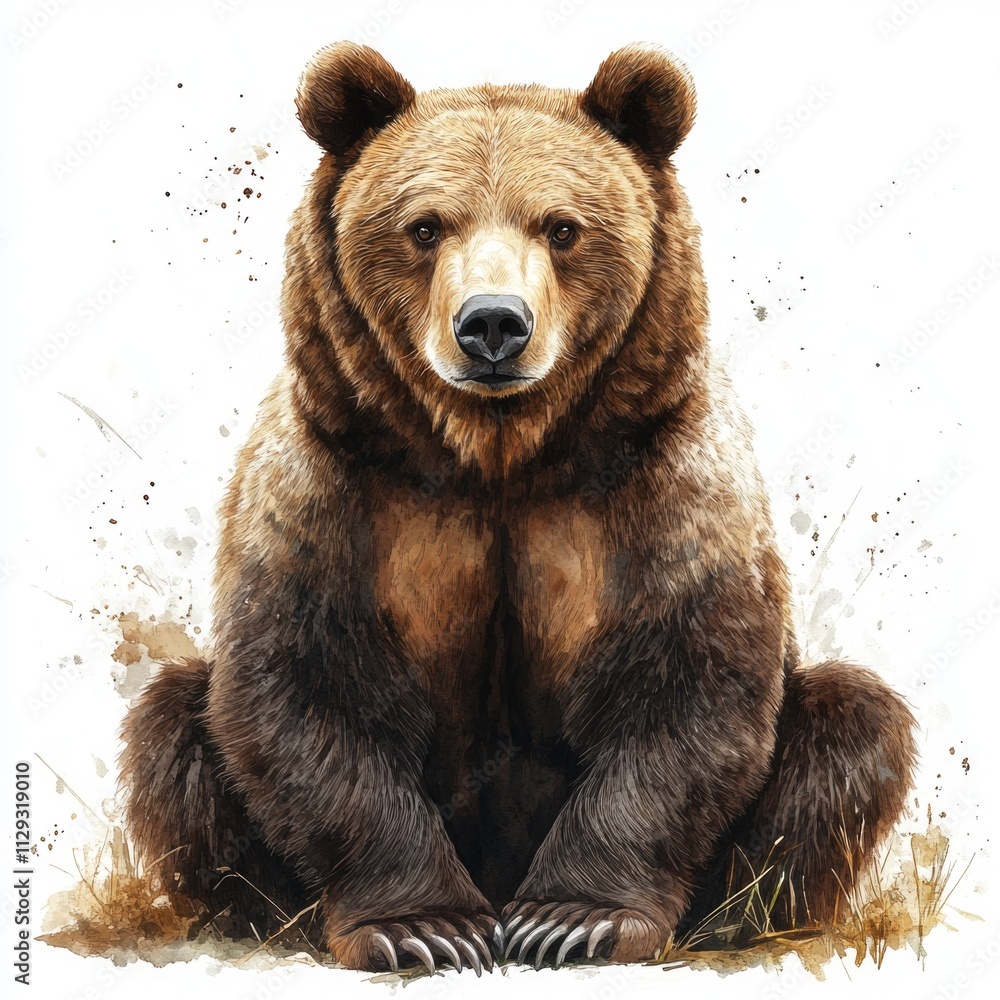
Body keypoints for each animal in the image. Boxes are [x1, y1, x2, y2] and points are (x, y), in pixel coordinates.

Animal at [120, 42, 917, 975]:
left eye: (562, 227)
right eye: (425, 225)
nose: (493, 324)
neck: (497, 458)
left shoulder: (662, 487)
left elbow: (686, 690)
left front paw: (573, 919)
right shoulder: (335, 486)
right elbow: (306, 691)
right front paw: (423, 927)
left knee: (852, 726)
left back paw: (736, 925)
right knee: (171, 723)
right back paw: (262, 922)